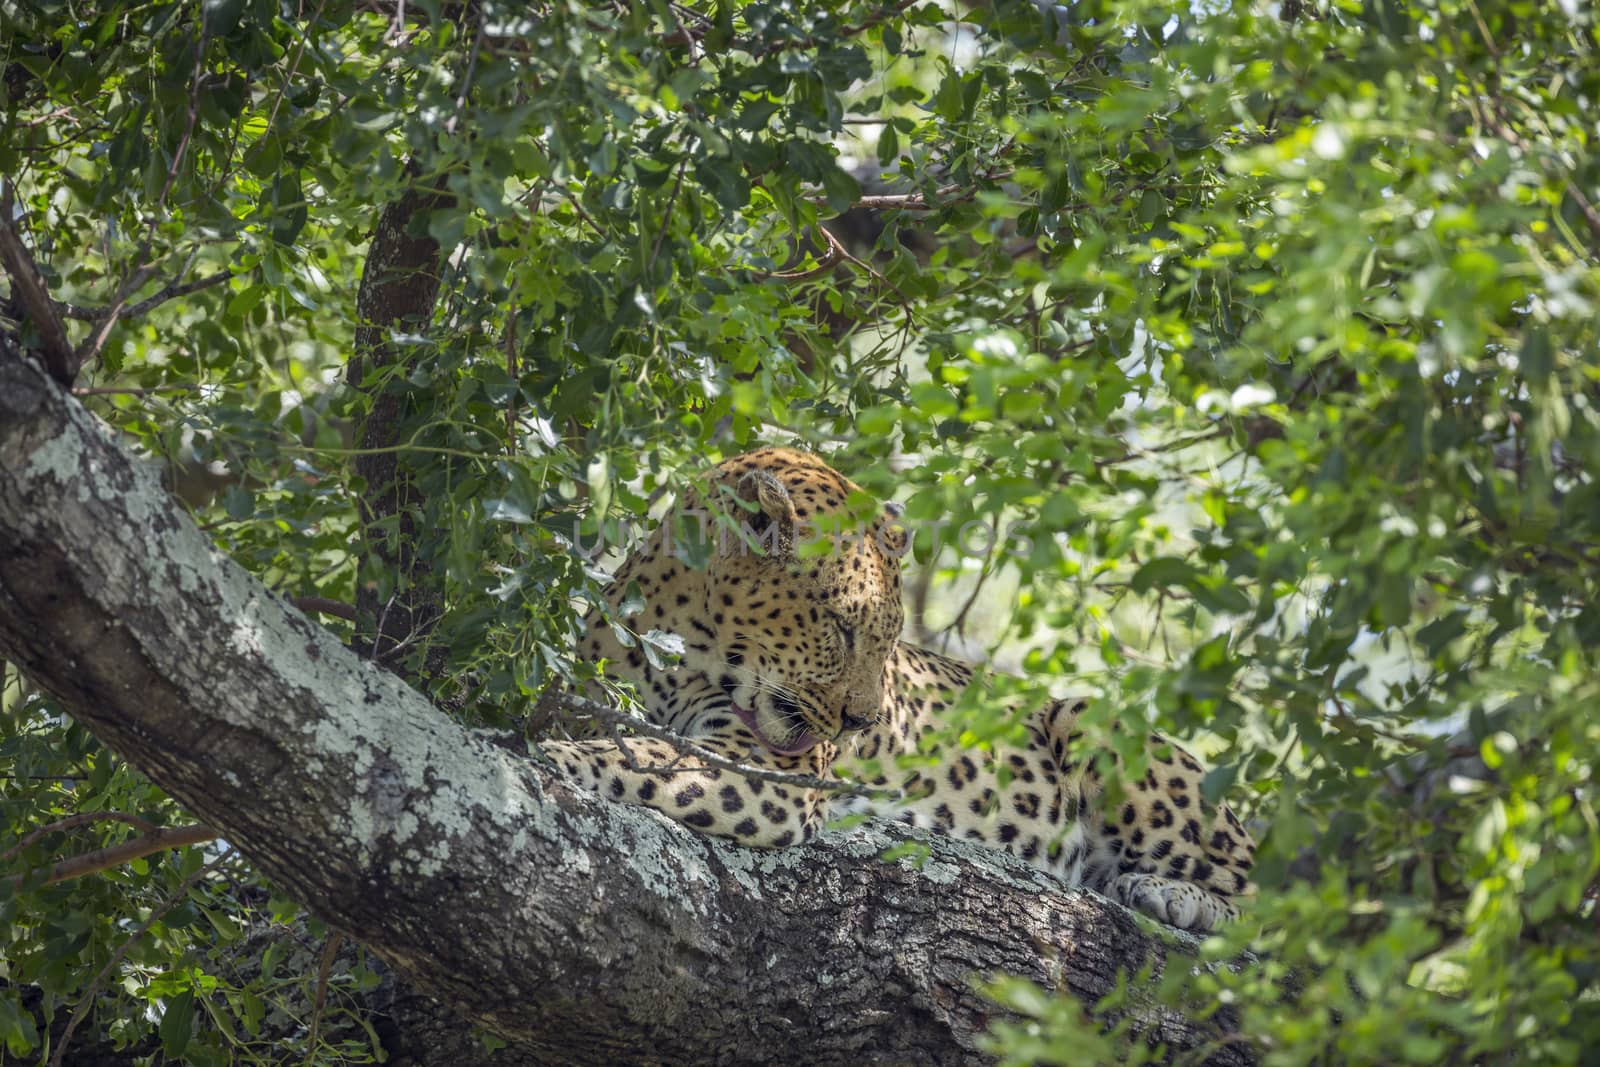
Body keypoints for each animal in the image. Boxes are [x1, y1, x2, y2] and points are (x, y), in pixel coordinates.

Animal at [544, 447, 1254, 927]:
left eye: (888, 639)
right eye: (840, 626)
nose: (861, 724)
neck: (681, 643)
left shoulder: (766, 773)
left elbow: (637, 760)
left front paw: (550, 761)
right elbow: (620, 742)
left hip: (1097, 726)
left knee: (1258, 911)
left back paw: (1169, 895)